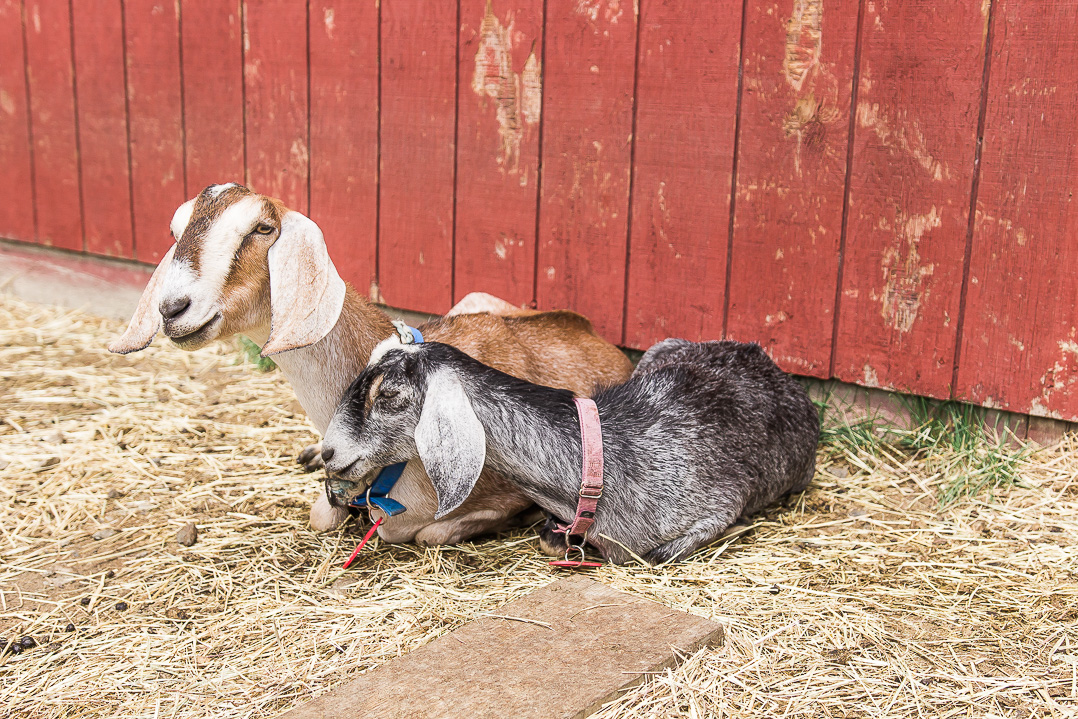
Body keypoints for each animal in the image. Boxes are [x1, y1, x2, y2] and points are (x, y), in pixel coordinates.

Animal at [108, 184, 629, 545]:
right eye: (175, 231)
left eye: (262, 228)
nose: (173, 308)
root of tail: (590, 331)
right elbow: (322, 515)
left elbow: (424, 531)